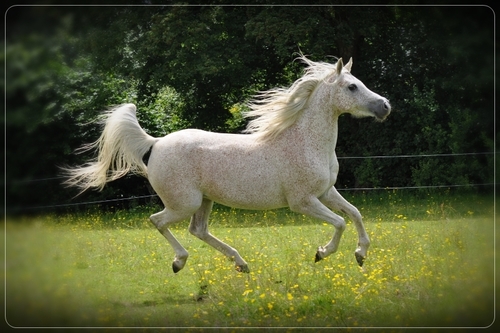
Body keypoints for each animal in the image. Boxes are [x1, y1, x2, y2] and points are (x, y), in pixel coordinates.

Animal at [64, 54, 390, 272]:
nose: (385, 106)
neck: (307, 141)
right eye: (351, 87)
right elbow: (339, 222)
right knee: (158, 221)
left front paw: (361, 254)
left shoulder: (326, 192)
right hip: (185, 202)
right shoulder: (303, 201)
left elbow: (355, 214)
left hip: (204, 201)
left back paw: (241, 263)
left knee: (198, 230)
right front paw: (322, 253)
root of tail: (155, 143)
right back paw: (180, 262)